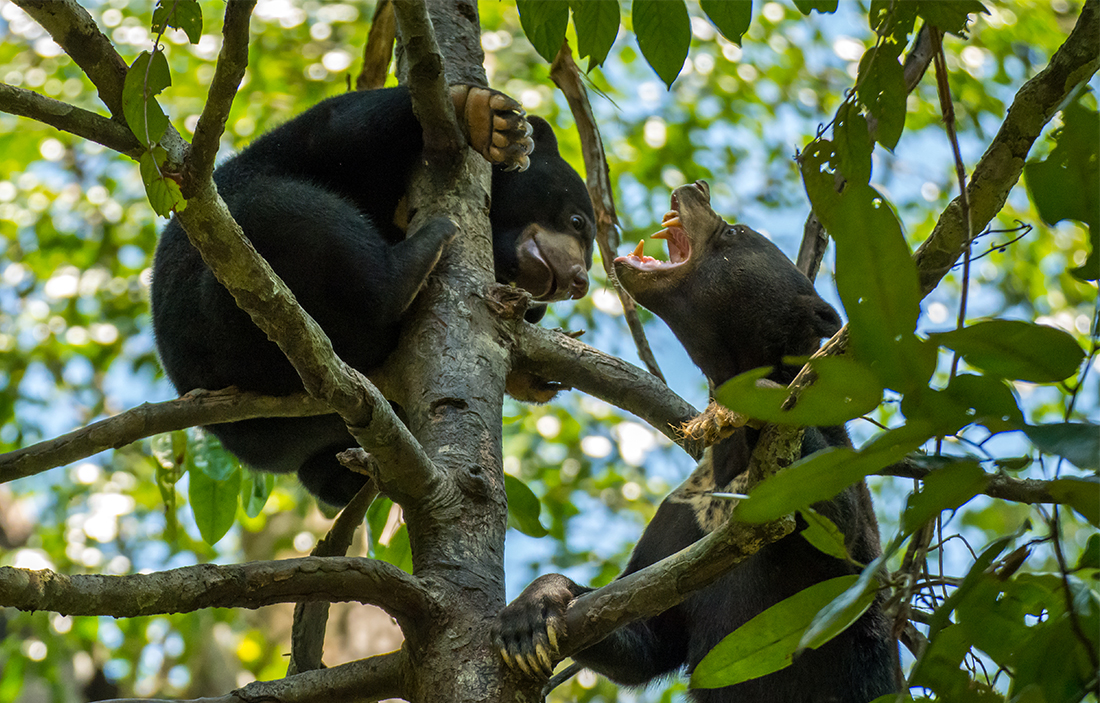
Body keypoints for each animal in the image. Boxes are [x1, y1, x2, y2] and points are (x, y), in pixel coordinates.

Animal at [151, 85, 596, 507]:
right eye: (578, 222)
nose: (578, 280)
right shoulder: (313, 147)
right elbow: (342, 129)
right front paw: (488, 119)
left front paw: (533, 373)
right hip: (217, 297)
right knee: (288, 211)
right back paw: (420, 254)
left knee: (327, 477)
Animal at [493, 181, 899, 702]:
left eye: (735, 231)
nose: (695, 186)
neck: (731, 462)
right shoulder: (686, 513)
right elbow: (644, 630)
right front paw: (527, 617)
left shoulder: (837, 505)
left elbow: (834, 516)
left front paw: (756, 397)